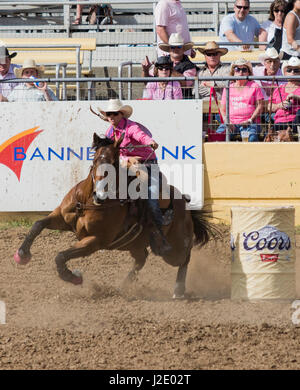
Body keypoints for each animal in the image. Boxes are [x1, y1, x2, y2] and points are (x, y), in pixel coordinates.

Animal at [14, 133, 216, 298]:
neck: (87, 202)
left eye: (113, 162)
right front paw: (22, 255)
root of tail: (184, 204)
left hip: (173, 248)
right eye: (95, 160)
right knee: (141, 259)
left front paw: (73, 277)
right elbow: (38, 225)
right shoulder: (61, 218)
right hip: (135, 244)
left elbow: (61, 256)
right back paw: (123, 287)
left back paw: (178, 290)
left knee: (185, 258)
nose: (99, 196)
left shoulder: (95, 241)